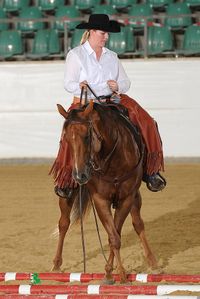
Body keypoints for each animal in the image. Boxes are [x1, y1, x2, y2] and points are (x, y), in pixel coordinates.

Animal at [52, 100, 158, 284]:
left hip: (135, 196)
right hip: (66, 192)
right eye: (65, 139)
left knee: (138, 223)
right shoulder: (100, 199)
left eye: (87, 136)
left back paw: (152, 260)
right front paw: (115, 274)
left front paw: (114, 272)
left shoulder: (126, 198)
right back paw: (56, 265)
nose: (80, 175)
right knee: (64, 223)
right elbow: (113, 236)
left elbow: (115, 235)